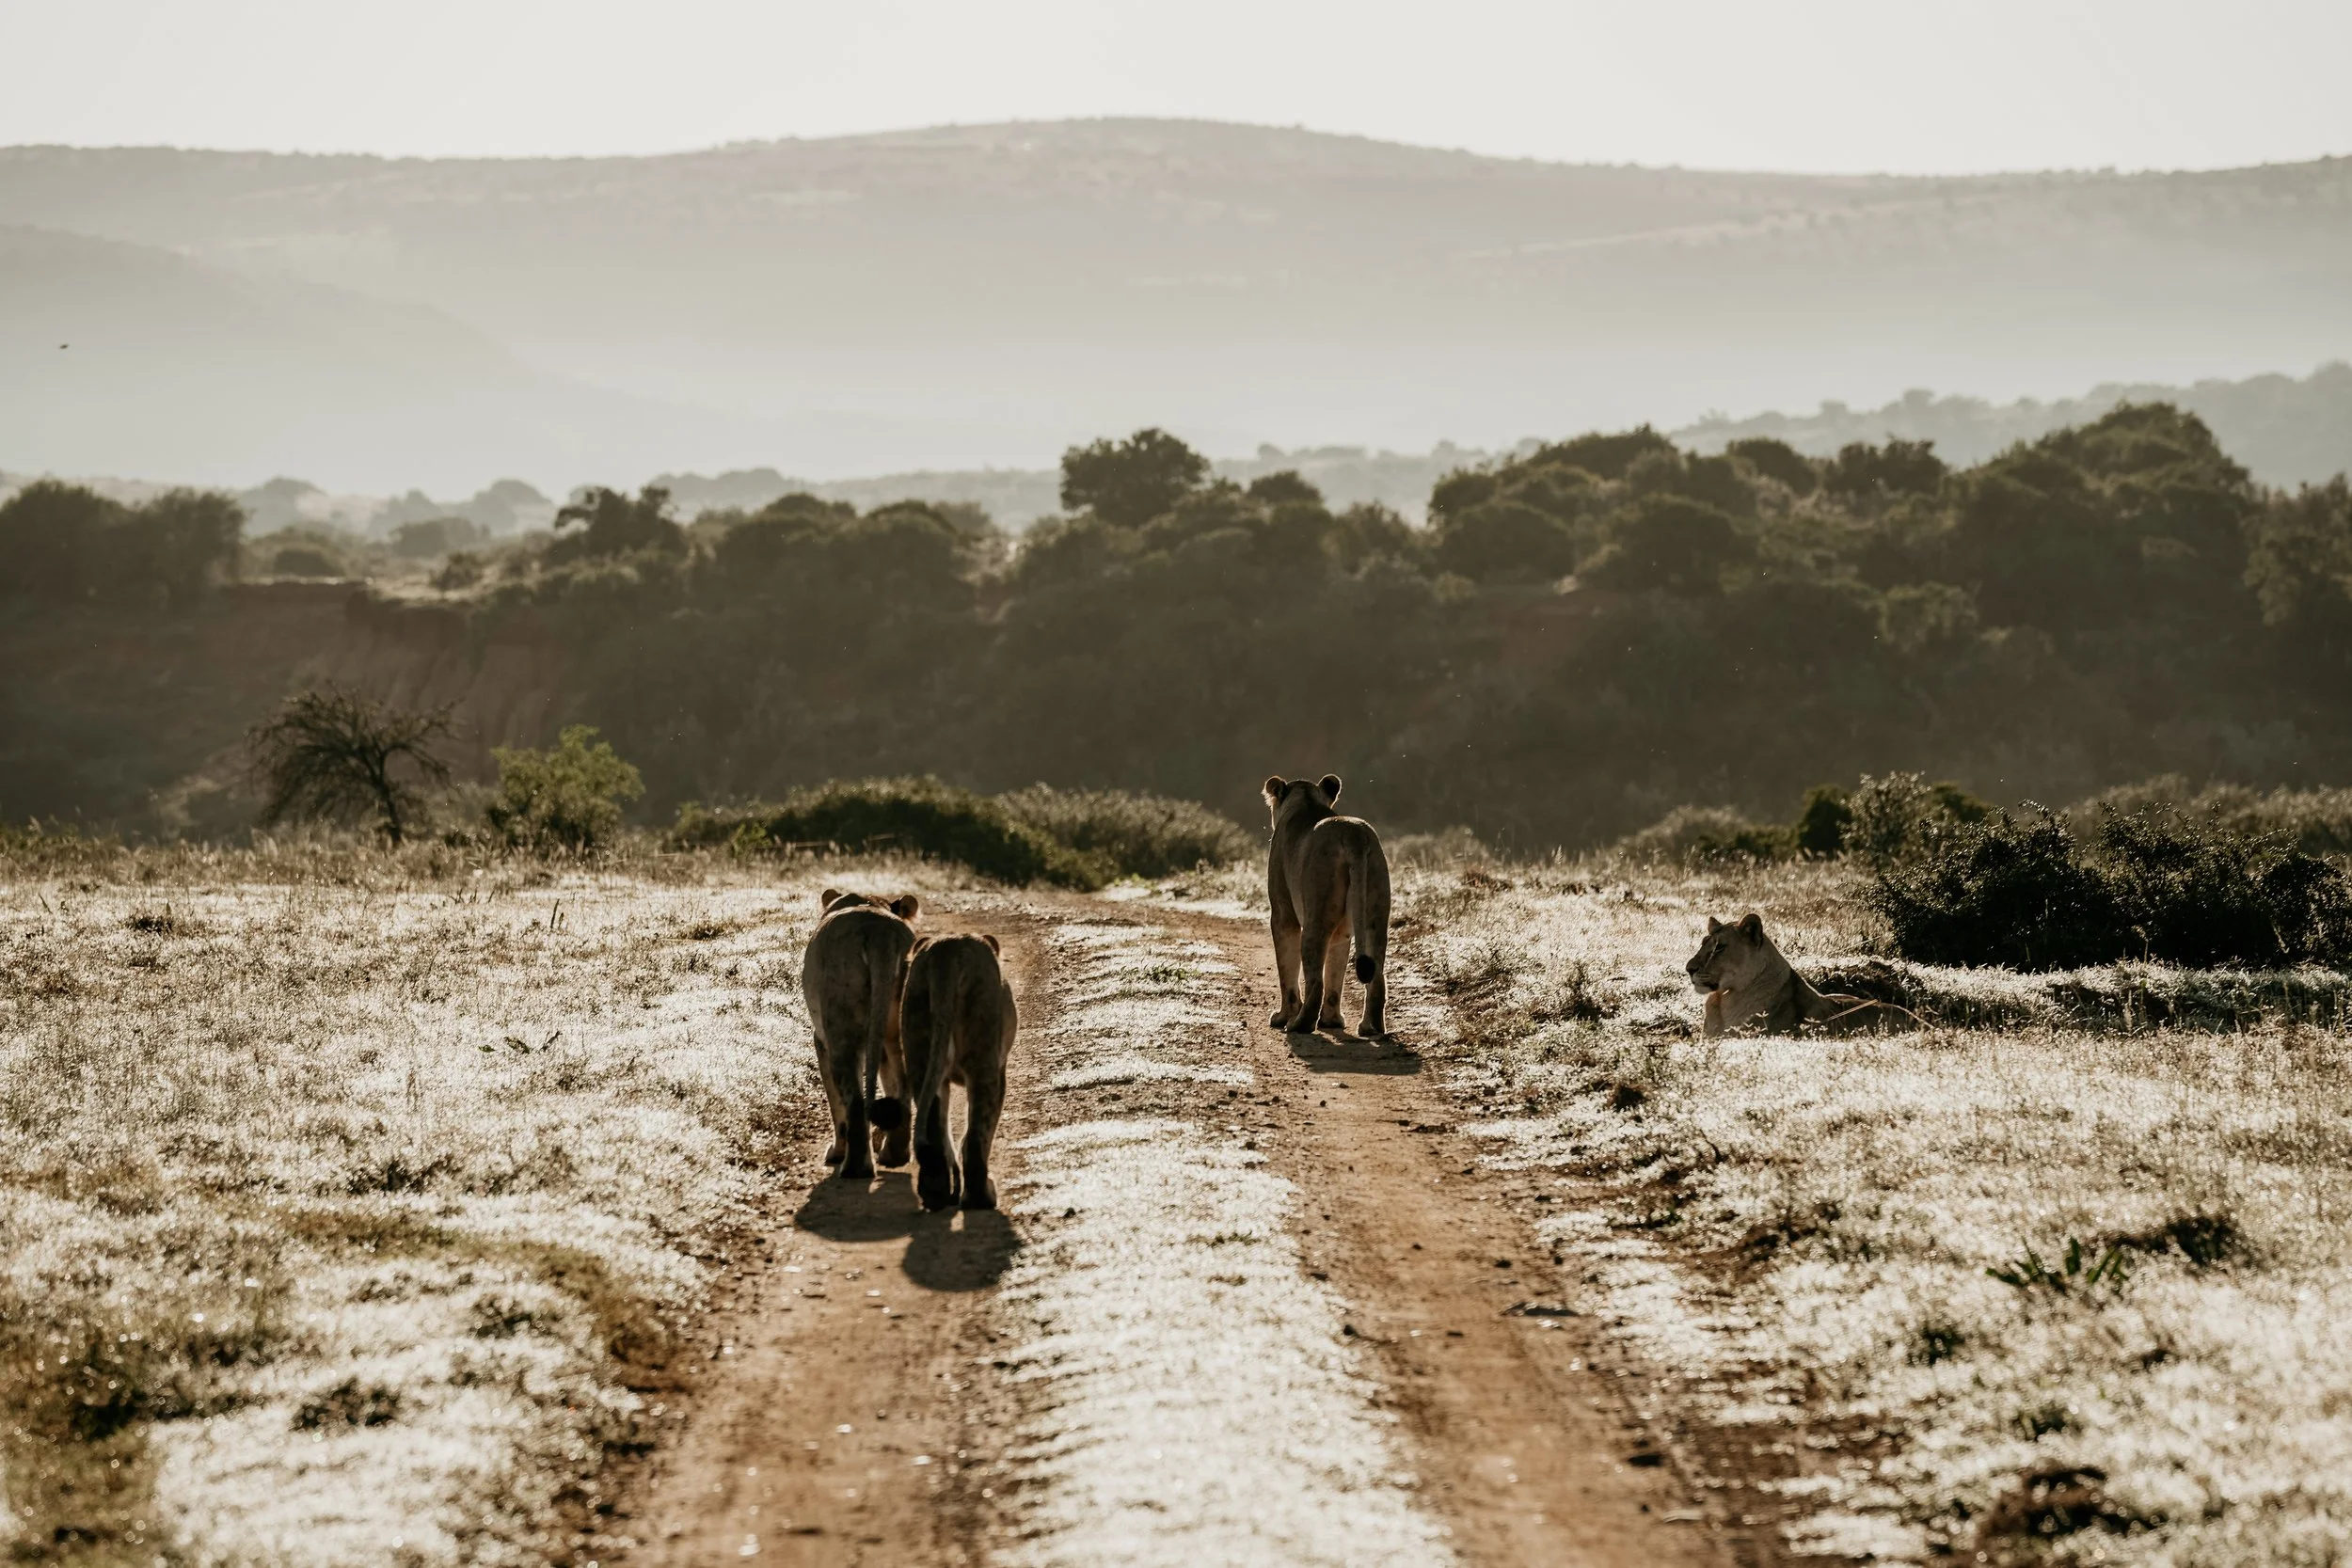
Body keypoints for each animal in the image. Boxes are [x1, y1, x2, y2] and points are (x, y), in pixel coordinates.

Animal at [799, 888, 921, 1180]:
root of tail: (879, 934)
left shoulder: (820, 1040)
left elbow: (834, 1101)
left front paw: (837, 1152)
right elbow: (888, 1080)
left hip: (840, 1025)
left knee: (852, 1096)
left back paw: (855, 1166)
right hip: (903, 1020)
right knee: (904, 1083)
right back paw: (895, 1154)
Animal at [898, 931, 1019, 1212]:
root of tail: (946, 951)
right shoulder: (1000, 1070)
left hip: (918, 1042)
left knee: (932, 1126)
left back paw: (935, 1192)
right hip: (984, 1053)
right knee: (975, 1136)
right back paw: (979, 1198)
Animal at [1263, 774, 1392, 1038]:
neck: (1304, 800)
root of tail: (1354, 835)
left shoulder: (1282, 913)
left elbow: (1286, 968)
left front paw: (1282, 1016)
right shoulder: (1343, 931)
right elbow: (1336, 969)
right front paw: (1331, 1021)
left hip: (1316, 913)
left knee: (1315, 980)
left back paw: (1298, 1024)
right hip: (1375, 911)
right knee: (1376, 976)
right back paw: (1370, 1027)